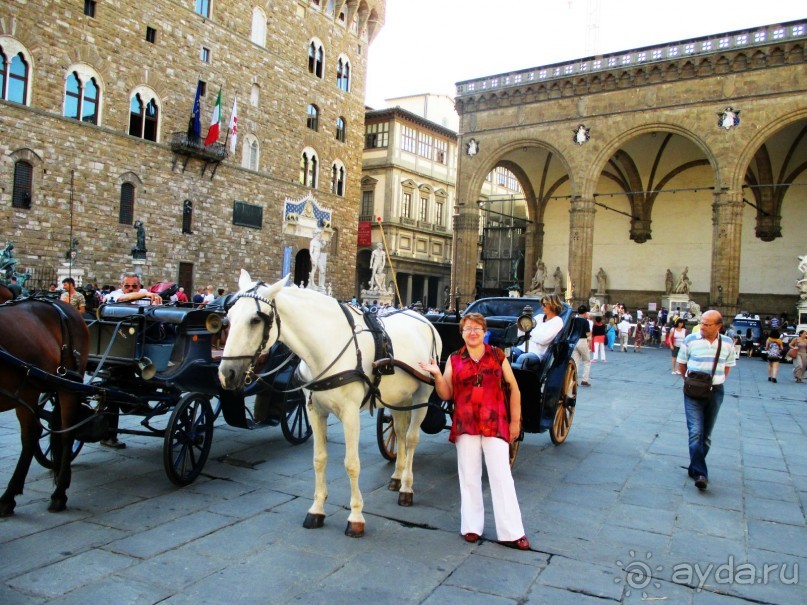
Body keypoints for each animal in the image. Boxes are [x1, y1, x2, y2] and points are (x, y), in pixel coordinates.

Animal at [218, 272, 442, 536]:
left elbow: (352, 463)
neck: (327, 344)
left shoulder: (351, 414)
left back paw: (407, 487)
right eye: (228, 317)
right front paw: (316, 510)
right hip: (400, 395)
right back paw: (397, 477)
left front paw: (356, 517)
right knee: (398, 431)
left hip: (424, 392)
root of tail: (424, 318)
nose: (226, 374)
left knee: (411, 437)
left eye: (255, 320)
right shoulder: (314, 411)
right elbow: (319, 459)